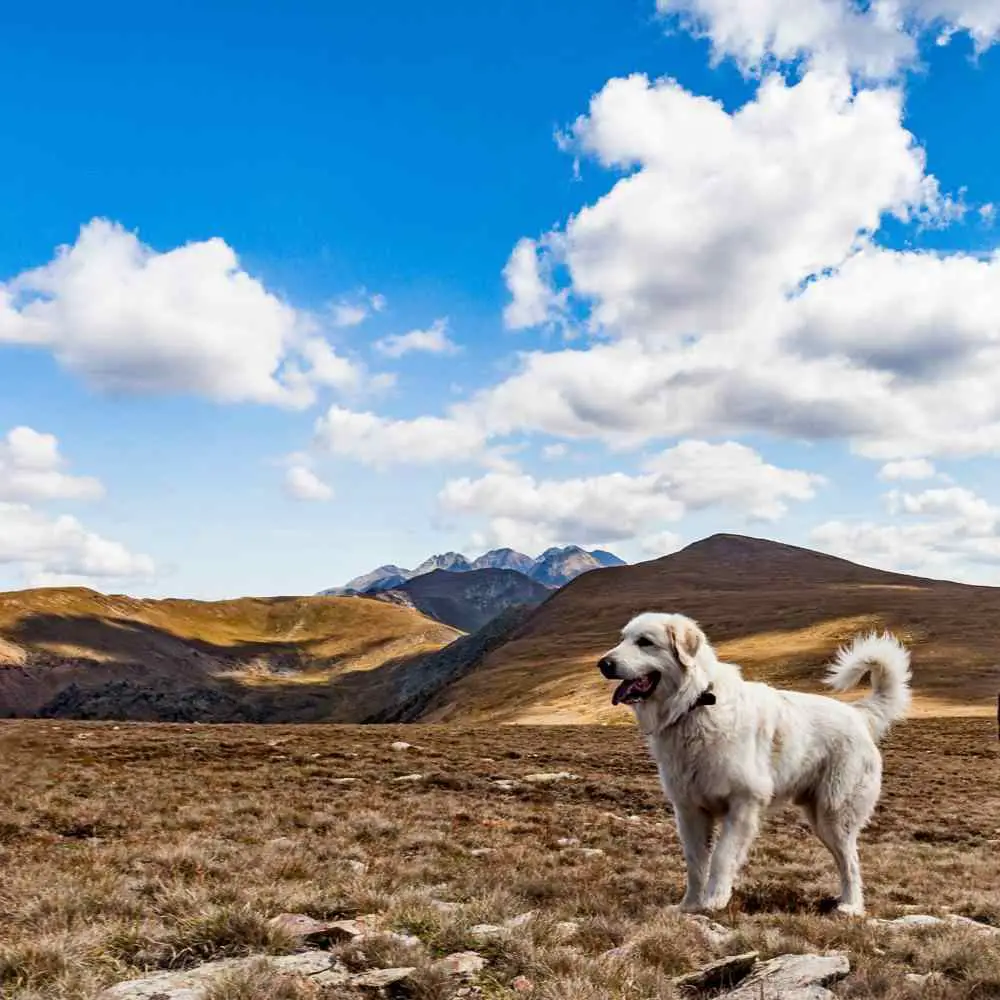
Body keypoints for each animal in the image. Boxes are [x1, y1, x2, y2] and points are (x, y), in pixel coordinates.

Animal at [596, 608, 912, 916]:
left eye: (645, 642)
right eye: (623, 639)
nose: (603, 663)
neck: (695, 704)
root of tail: (858, 713)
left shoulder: (743, 803)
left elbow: (722, 856)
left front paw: (715, 900)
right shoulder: (689, 810)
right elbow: (696, 863)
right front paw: (690, 905)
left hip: (835, 814)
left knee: (852, 863)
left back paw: (851, 906)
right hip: (820, 819)